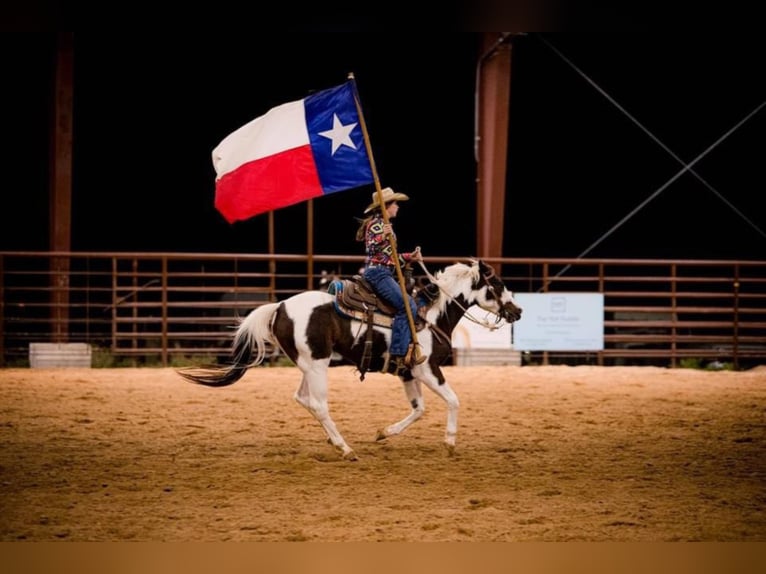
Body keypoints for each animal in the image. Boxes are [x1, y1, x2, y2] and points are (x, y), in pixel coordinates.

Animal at [179, 260, 524, 464]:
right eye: (497, 284)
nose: (517, 311)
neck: (430, 315)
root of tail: (279, 307)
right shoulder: (427, 368)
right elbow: (453, 400)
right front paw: (450, 443)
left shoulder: (407, 372)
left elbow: (419, 409)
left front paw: (384, 432)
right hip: (317, 366)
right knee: (318, 404)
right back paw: (344, 448)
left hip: (309, 366)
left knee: (302, 398)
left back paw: (334, 441)